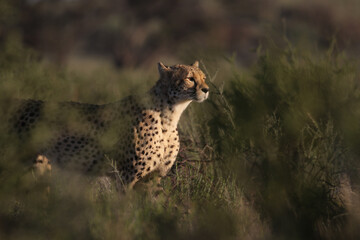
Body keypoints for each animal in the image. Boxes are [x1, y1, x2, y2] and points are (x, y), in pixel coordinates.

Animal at [9, 61, 210, 188]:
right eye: (190, 78)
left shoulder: (153, 179)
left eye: (204, 78)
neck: (170, 115)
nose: (207, 89)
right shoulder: (127, 177)